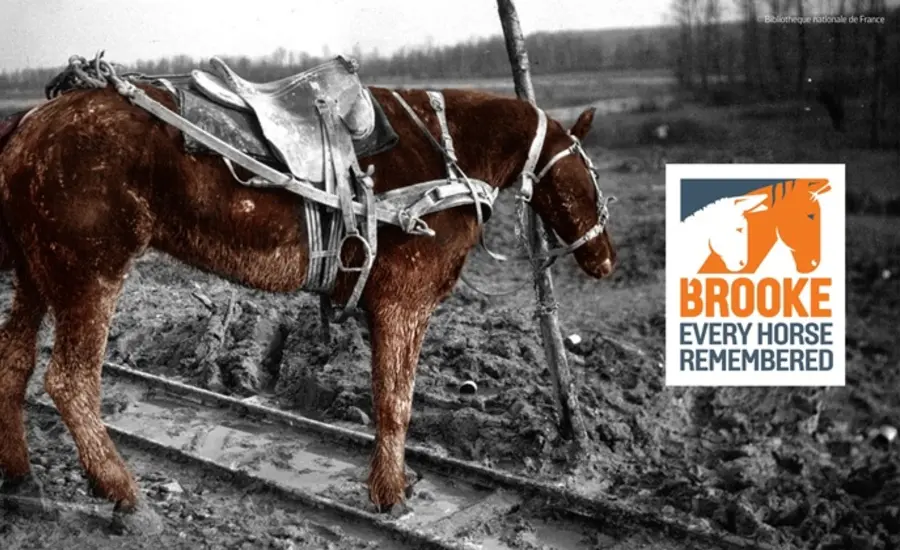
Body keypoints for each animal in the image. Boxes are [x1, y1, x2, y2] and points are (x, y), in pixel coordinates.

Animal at [0, 82, 616, 533]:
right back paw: (123, 493)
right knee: (70, 381)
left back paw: (23, 478)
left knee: (14, 366)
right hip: (90, 275)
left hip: (36, 273)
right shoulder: (404, 303)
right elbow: (395, 403)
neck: (448, 153)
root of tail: (29, 123)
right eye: (589, 175)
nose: (606, 261)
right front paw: (390, 494)